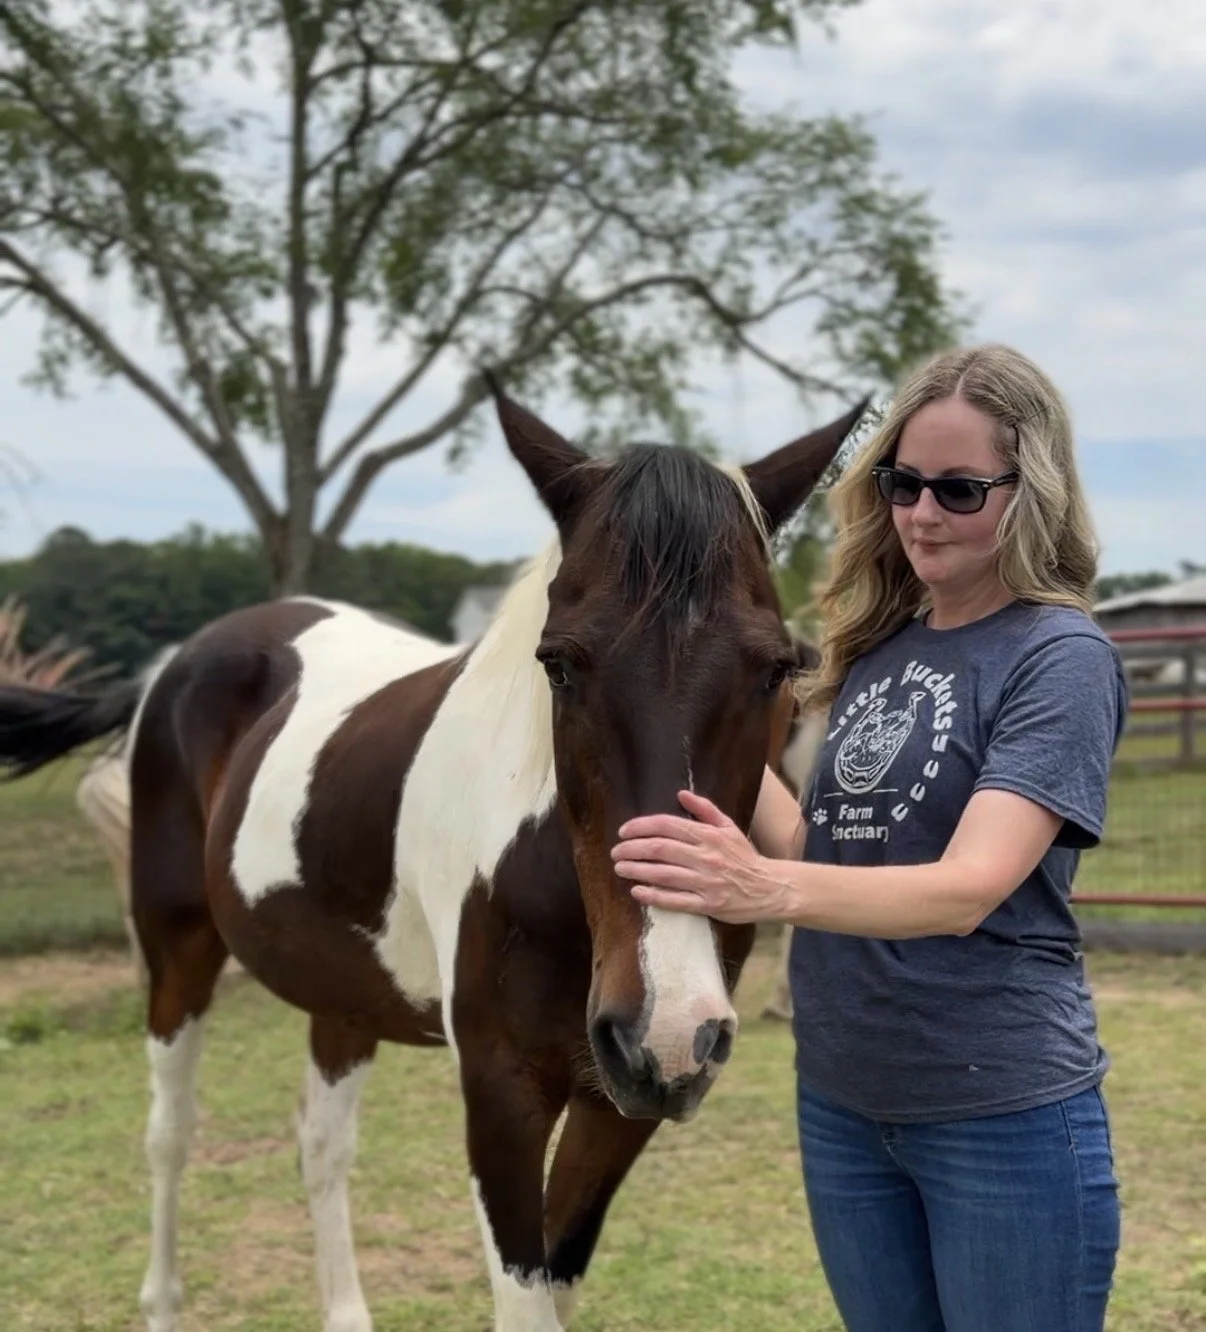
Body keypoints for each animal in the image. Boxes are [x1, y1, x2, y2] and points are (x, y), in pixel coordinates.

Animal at [0, 380, 864, 1332]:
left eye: (776, 669)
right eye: (559, 664)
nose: (666, 1023)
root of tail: (174, 663)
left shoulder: (621, 1104)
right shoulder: (501, 1093)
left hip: (342, 995)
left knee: (321, 1145)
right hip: (178, 951)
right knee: (171, 1133)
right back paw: (161, 1300)